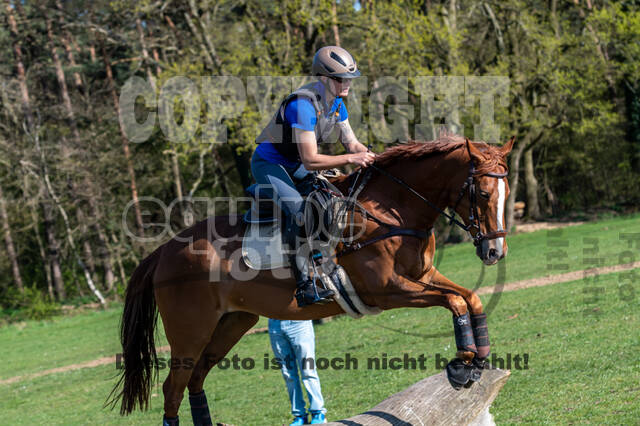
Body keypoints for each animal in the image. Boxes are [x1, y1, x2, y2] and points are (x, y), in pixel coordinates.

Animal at [110, 135, 516, 424]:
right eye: (482, 193)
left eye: (507, 192)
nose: (495, 252)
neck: (390, 210)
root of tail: (164, 251)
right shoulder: (388, 290)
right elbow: (455, 301)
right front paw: (462, 366)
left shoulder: (422, 276)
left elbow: (469, 298)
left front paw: (475, 360)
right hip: (190, 333)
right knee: (172, 389)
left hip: (231, 324)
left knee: (195, 382)